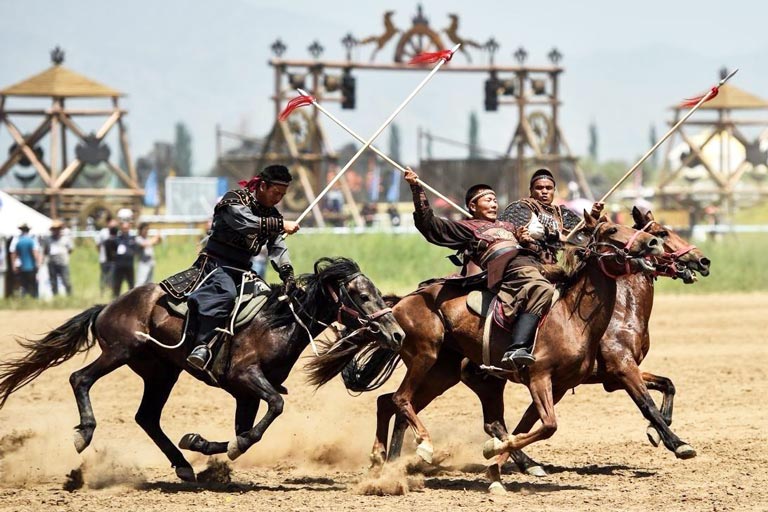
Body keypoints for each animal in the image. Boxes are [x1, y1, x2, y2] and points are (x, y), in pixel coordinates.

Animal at [0, 258, 404, 482]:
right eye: (362, 296)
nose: (397, 333)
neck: (279, 322)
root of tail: (109, 305)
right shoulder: (246, 379)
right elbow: (273, 408)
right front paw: (230, 448)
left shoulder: (245, 394)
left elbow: (247, 431)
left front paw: (199, 442)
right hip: (120, 351)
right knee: (79, 378)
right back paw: (84, 433)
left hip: (161, 373)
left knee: (147, 417)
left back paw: (183, 465)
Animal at [308, 212, 664, 472]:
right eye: (612, 229)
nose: (653, 242)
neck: (571, 317)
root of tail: (400, 304)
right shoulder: (541, 377)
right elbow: (546, 425)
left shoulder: (561, 384)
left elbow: (527, 426)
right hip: (425, 356)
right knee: (401, 399)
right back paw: (422, 449)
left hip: (441, 373)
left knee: (388, 401)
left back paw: (385, 459)